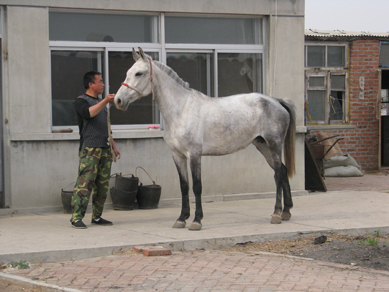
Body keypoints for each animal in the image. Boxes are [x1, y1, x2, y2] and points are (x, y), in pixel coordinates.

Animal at [113, 48, 296, 230]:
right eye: (128, 72)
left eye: (139, 73)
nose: (118, 100)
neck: (181, 110)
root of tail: (276, 101)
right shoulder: (177, 156)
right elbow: (184, 186)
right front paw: (181, 218)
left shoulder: (194, 155)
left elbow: (197, 186)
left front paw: (196, 220)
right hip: (263, 146)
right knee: (282, 171)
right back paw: (286, 212)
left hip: (274, 144)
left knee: (278, 174)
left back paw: (276, 214)